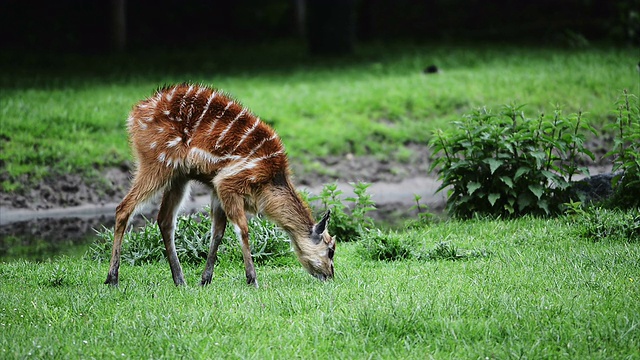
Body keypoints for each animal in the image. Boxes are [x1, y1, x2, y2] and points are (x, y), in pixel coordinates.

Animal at [105, 83, 336, 288]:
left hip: (179, 176)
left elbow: (217, 232)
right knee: (124, 207)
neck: (269, 183)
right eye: (331, 250)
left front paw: (205, 280)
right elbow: (242, 229)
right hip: (155, 162)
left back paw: (180, 280)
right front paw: (252, 280)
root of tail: (134, 114)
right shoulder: (227, 182)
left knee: (164, 219)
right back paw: (112, 279)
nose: (330, 276)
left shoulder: (216, 187)